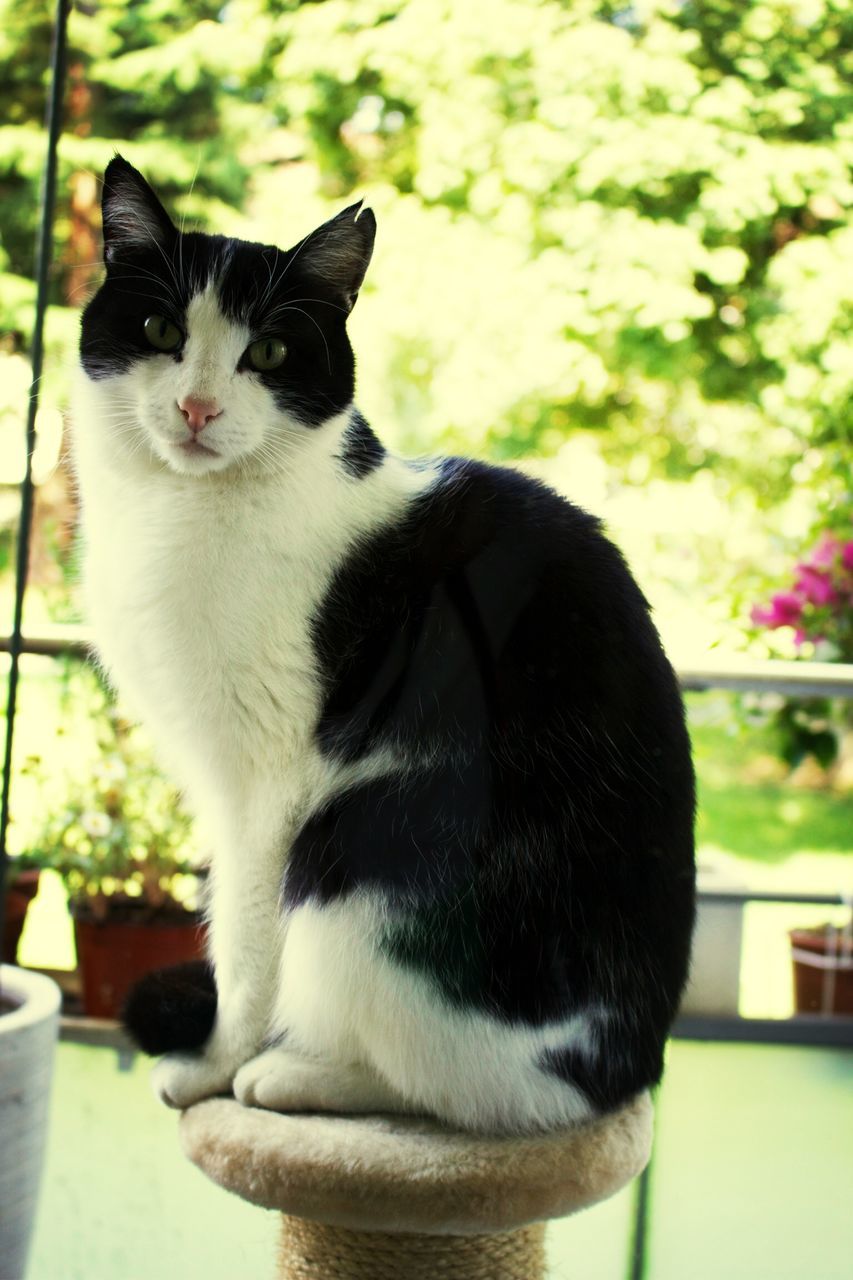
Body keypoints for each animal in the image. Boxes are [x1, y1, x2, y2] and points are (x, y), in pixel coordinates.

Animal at [73, 157, 696, 1131]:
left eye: (270, 354)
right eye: (159, 329)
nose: (198, 407)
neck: (172, 512)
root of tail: (629, 1063)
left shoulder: (268, 787)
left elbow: (244, 946)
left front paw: (214, 1062)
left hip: (351, 849)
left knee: (472, 1093)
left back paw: (292, 1076)